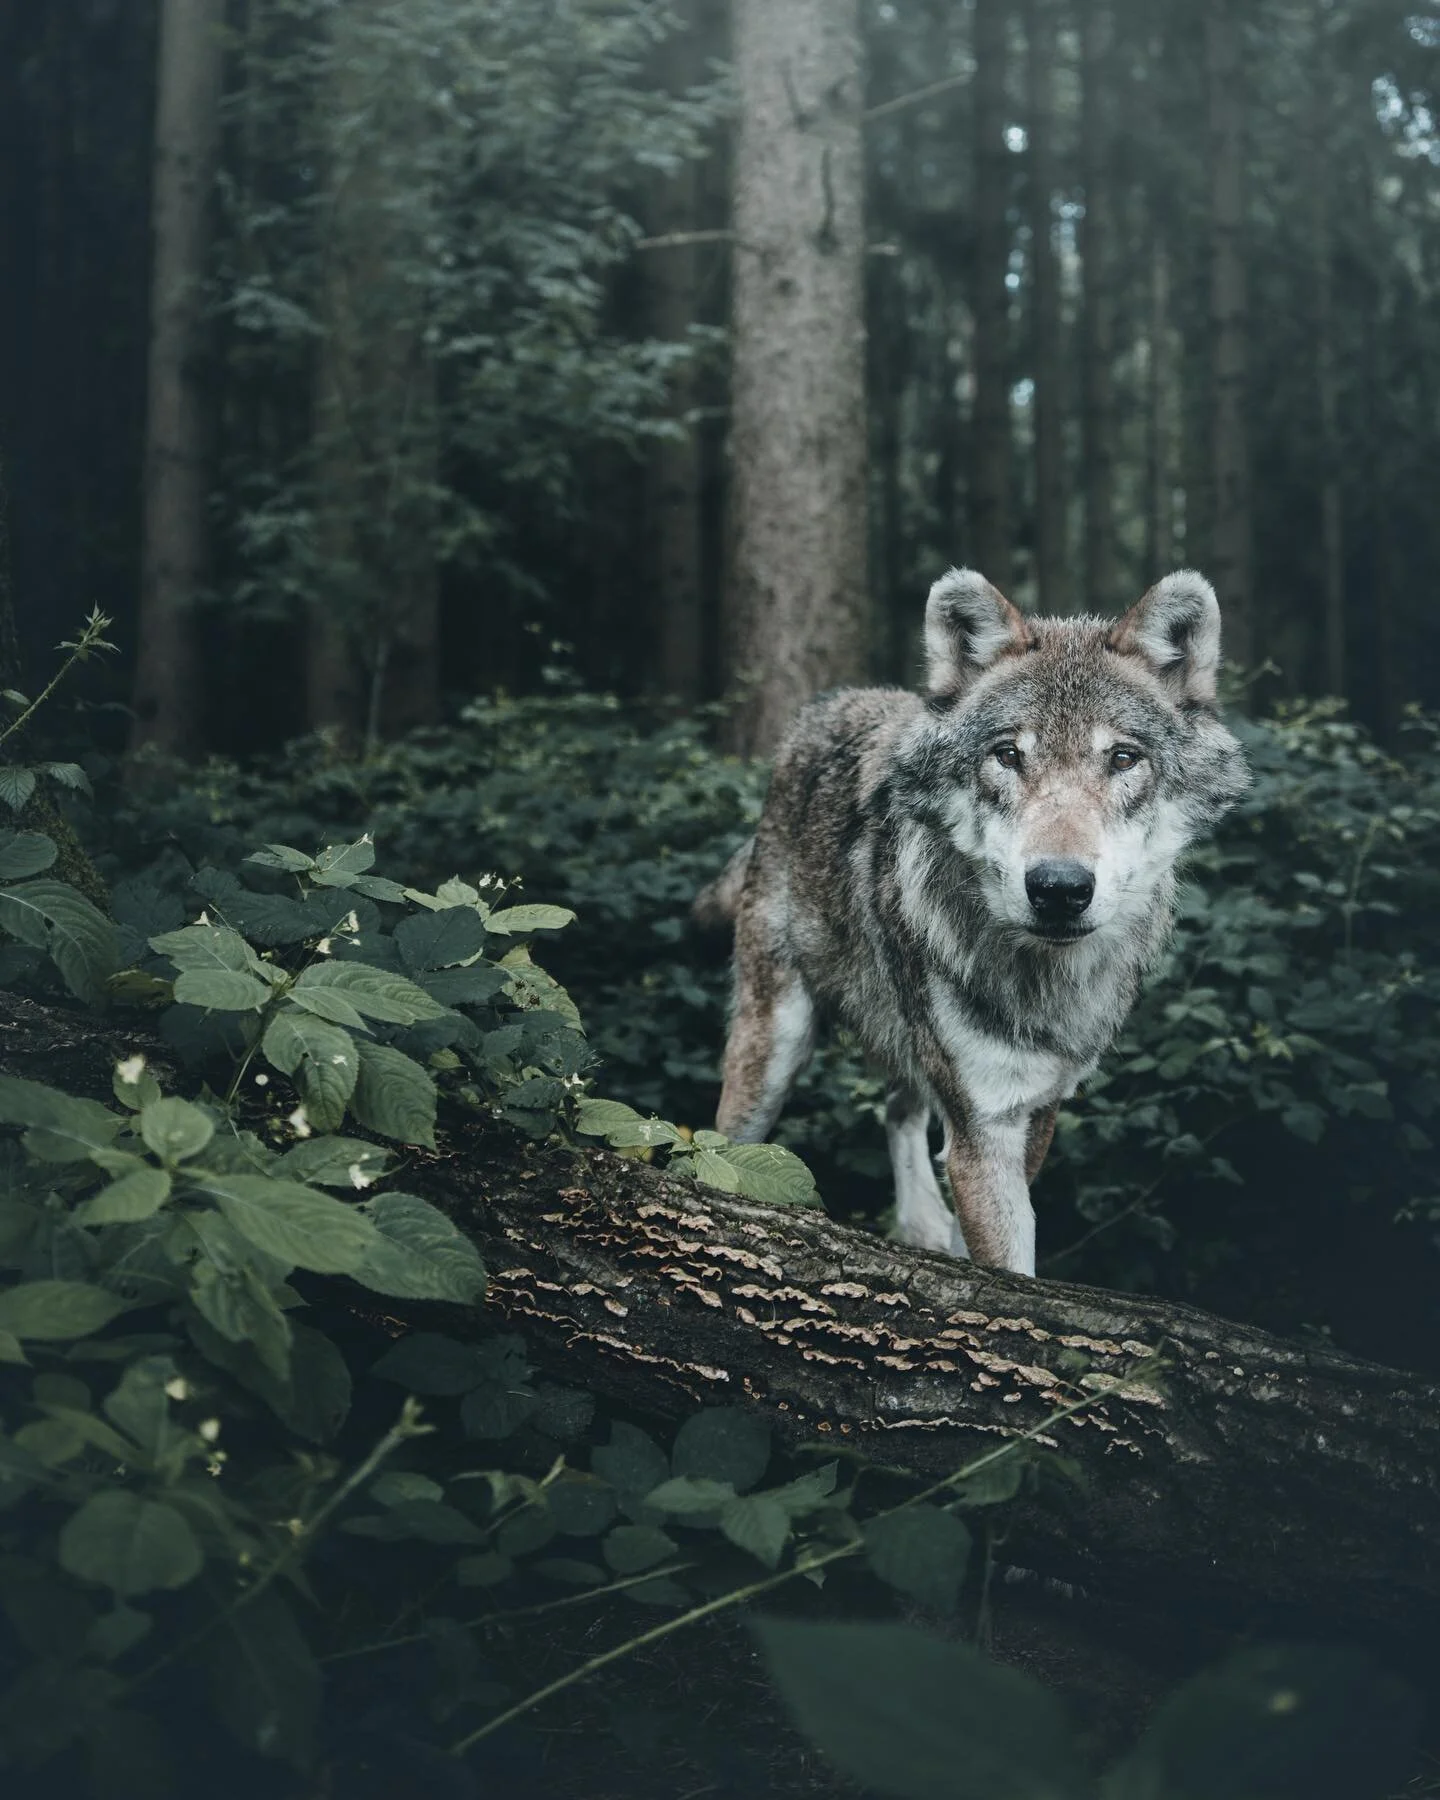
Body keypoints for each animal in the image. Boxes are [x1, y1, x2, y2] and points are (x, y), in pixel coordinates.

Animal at [698, 568, 1249, 1275]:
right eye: (1007, 755)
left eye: (1124, 758)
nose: (1059, 888)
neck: (1043, 984)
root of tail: (827, 707)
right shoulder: (983, 1128)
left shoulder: (1036, 1111)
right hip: (774, 1046)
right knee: (718, 1146)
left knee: (899, 1104)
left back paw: (922, 1225)